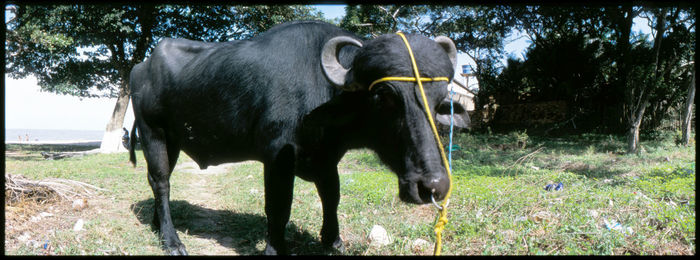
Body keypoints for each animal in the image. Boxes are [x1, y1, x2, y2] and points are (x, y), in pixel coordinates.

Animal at [131, 20, 470, 256]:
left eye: (440, 100)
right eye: (383, 96)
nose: (432, 186)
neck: (323, 91)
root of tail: (141, 67)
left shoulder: (327, 159)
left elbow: (331, 197)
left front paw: (333, 240)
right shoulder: (277, 157)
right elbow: (279, 206)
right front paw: (275, 247)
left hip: (173, 142)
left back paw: (157, 224)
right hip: (152, 133)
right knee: (161, 182)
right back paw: (172, 240)